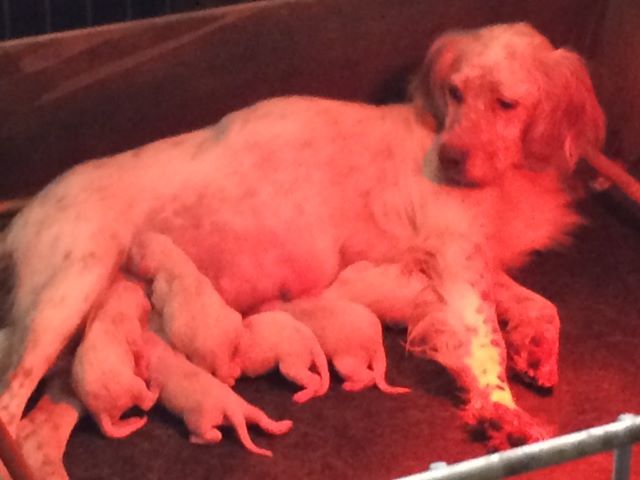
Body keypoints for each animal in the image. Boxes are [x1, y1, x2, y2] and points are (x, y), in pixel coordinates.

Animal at [71, 278, 158, 438]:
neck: (113, 304)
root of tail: (100, 413)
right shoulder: (134, 334)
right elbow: (140, 354)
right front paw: (144, 370)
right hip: (134, 386)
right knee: (147, 403)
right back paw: (155, 385)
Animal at [143, 330, 292, 458]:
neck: (162, 354)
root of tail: (231, 408)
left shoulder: (155, 376)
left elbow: (153, 393)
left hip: (199, 419)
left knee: (215, 435)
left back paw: (194, 438)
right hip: (243, 405)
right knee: (260, 416)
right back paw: (282, 426)